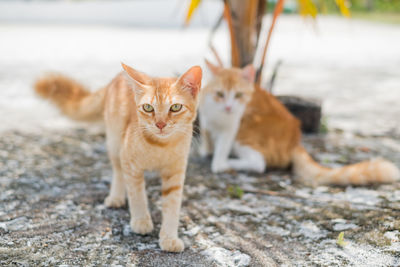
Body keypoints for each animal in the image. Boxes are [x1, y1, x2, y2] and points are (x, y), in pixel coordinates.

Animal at [34, 63, 203, 252]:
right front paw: (141, 220)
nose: (160, 124)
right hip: (115, 142)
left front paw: (169, 237)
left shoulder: (175, 173)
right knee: (117, 170)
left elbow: (172, 206)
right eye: (148, 108)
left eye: (175, 107)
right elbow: (137, 195)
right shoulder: (130, 164)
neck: (161, 145)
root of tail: (116, 78)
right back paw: (116, 197)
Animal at [200, 61, 400, 186]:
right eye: (220, 94)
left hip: (245, 132)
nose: (228, 107)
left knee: (258, 163)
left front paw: (217, 160)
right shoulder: (205, 121)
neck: (216, 114)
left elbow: (221, 150)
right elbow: (207, 136)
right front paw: (206, 150)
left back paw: (228, 162)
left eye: (239, 95)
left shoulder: (232, 127)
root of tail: (295, 139)